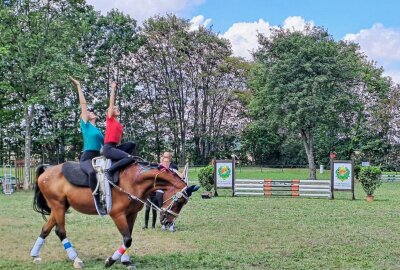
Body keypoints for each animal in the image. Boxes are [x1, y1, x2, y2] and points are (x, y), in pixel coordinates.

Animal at [30, 161, 199, 268]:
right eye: (180, 201)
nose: (168, 221)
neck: (134, 181)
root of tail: (47, 169)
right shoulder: (117, 214)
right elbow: (128, 239)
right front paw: (111, 260)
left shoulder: (131, 214)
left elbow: (128, 237)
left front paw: (125, 261)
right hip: (58, 206)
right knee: (60, 231)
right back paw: (76, 259)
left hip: (60, 206)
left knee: (45, 228)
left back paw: (35, 255)